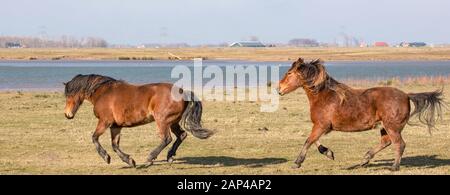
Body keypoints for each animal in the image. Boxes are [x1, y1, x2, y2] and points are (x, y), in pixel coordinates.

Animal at [62, 74, 214, 168]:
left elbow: (94, 138)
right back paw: (170, 156)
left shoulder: (105, 122)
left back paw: (150, 159)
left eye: (69, 95)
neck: (103, 93)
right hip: (173, 122)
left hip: (162, 121)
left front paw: (106, 157)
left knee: (166, 139)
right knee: (181, 135)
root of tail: (183, 92)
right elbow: (115, 145)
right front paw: (129, 161)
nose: (67, 114)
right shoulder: (115, 126)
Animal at [278, 58, 442, 171]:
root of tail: (406, 96)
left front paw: (297, 163)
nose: (278, 89)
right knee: (386, 142)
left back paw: (393, 167)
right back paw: (365, 159)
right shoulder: (322, 126)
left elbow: (308, 141)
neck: (324, 96)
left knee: (399, 144)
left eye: (289, 73)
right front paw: (329, 153)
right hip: (385, 127)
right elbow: (315, 141)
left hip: (392, 127)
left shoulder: (321, 126)